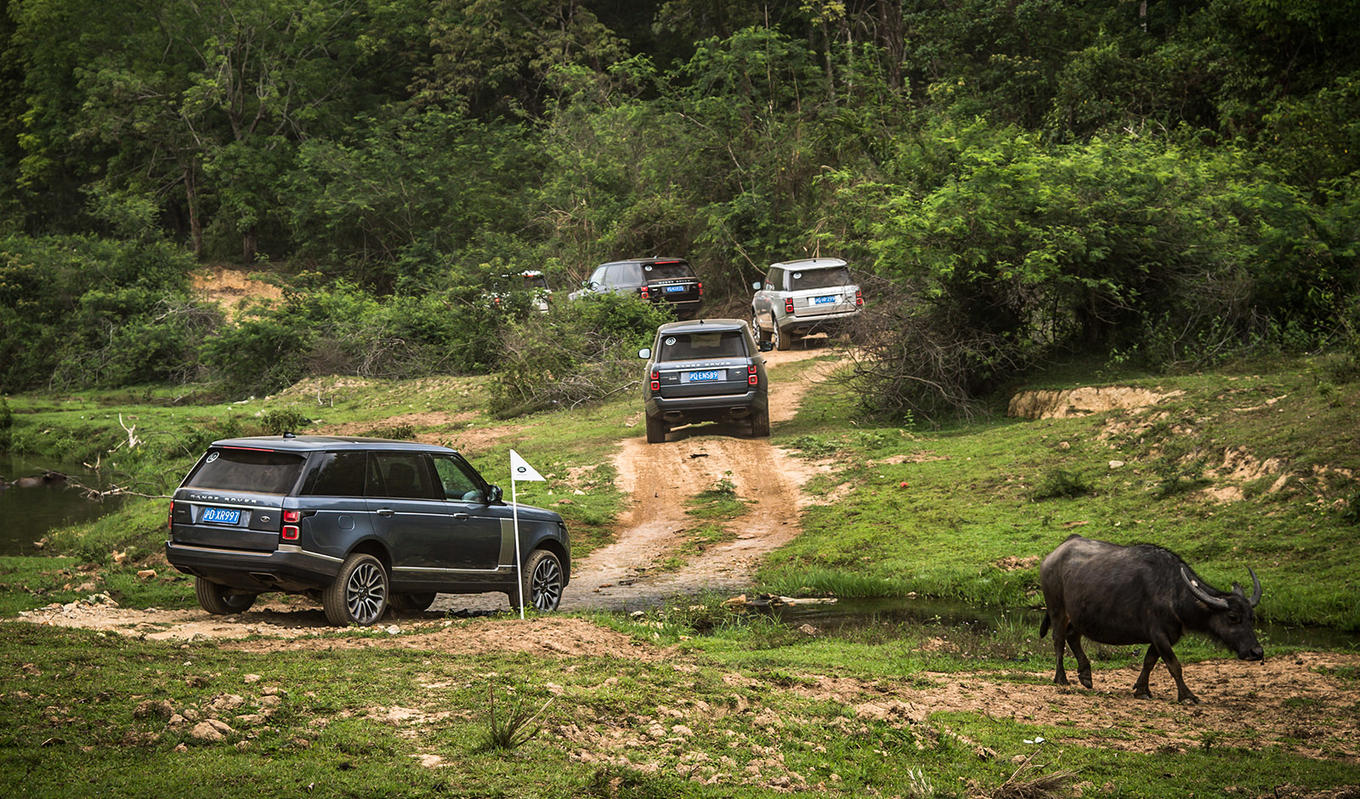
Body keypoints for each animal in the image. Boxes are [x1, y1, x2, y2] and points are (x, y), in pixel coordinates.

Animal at [1039, 532, 1262, 701]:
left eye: (1251, 617)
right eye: (1232, 617)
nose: (1257, 652)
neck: (1173, 593)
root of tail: (1052, 557)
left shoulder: (1164, 636)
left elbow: (1149, 662)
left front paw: (1142, 690)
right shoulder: (1159, 635)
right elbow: (1174, 665)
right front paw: (1187, 696)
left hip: (1078, 615)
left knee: (1073, 637)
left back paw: (1086, 675)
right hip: (1057, 609)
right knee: (1058, 640)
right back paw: (1061, 678)